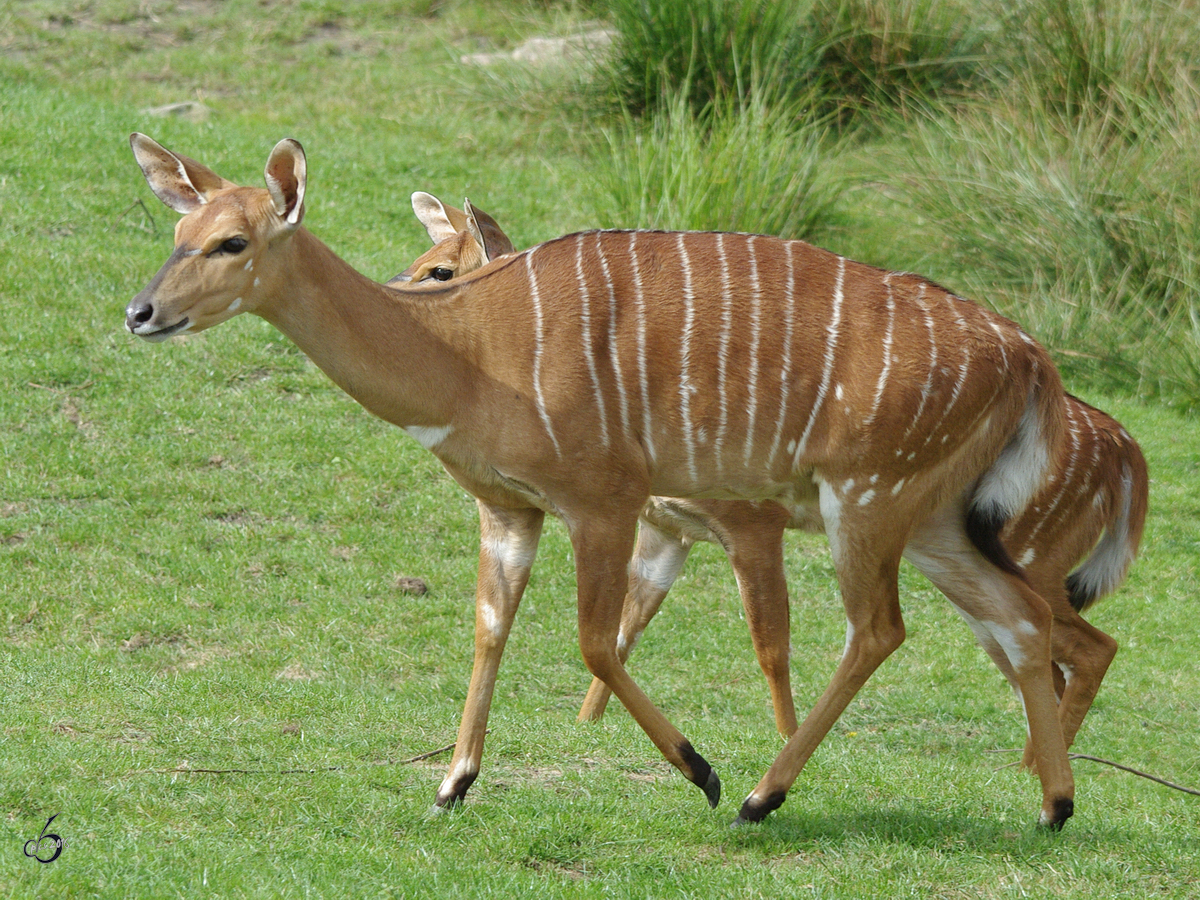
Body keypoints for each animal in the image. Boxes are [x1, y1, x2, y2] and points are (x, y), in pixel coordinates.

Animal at [396, 194, 1152, 772]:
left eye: (440, 269)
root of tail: (1126, 456)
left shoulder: (751, 525)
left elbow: (770, 640)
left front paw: (780, 740)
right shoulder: (668, 527)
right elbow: (629, 626)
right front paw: (592, 726)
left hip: (1026, 552)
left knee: (1084, 645)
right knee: (1042, 649)